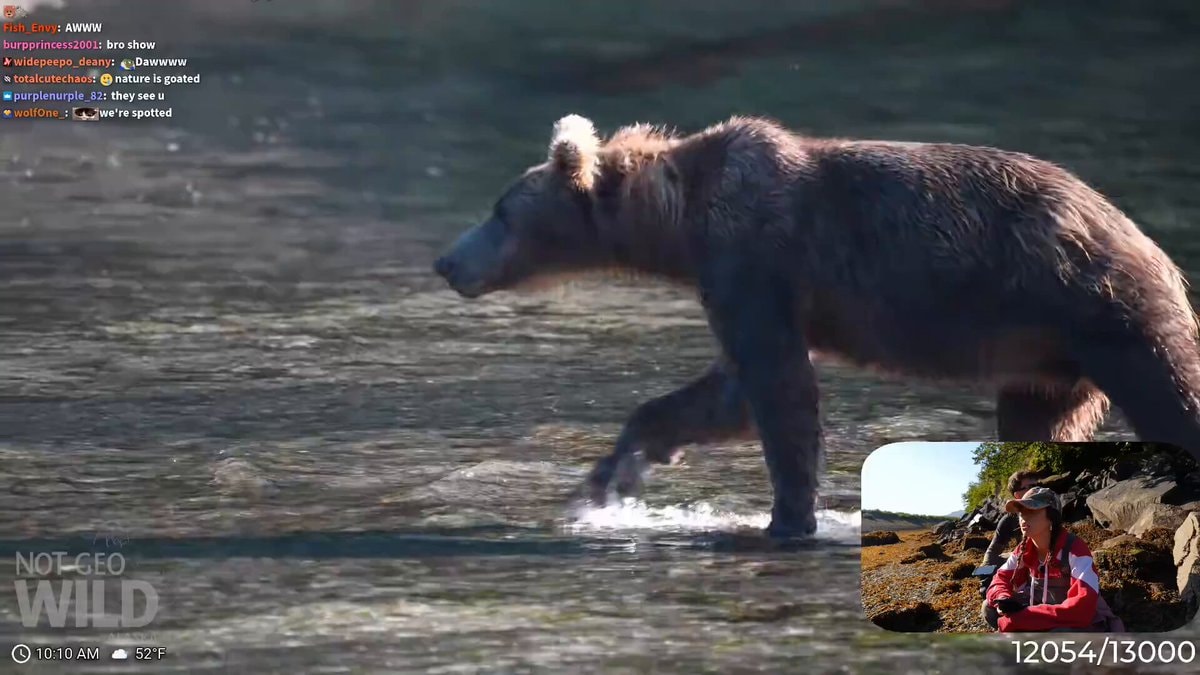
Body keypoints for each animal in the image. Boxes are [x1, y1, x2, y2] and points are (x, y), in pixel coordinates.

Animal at [433, 114, 1200, 538]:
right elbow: (726, 395)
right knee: (1038, 419)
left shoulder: (757, 259)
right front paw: (608, 479)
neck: (680, 223)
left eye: (501, 210)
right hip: (1044, 352)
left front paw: (789, 516)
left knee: (1173, 389)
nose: (446, 260)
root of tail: (1148, 243)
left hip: (1102, 309)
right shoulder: (739, 281)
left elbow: (779, 391)